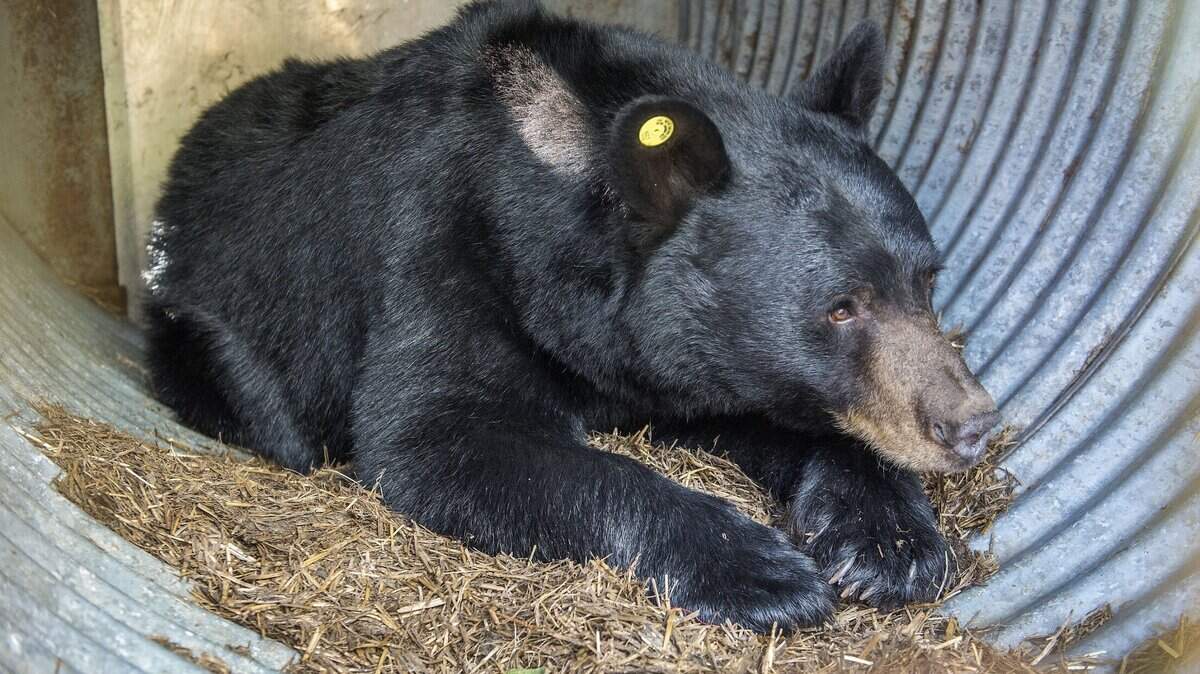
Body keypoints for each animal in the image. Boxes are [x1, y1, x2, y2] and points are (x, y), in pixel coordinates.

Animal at [144, 0, 1001, 633]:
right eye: (840, 306)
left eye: (928, 279)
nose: (970, 423)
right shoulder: (439, 250)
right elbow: (442, 434)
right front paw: (762, 571)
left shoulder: (670, 348)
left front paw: (887, 540)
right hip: (204, 325)